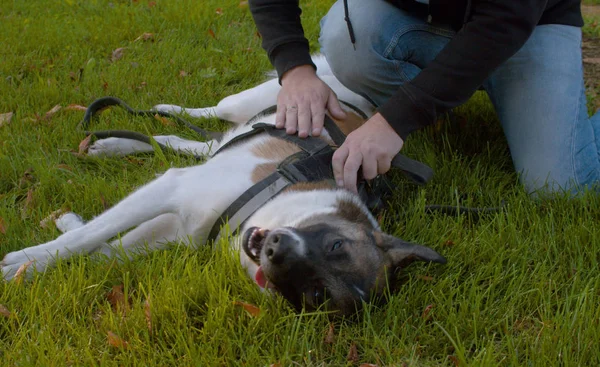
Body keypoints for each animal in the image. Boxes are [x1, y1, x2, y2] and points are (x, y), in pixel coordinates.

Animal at [1, 56, 446, 314]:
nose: (275, 250)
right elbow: (87, 239)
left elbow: (104, 252)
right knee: (209, 115)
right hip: (252, 99)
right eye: (336, 244)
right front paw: (24, 261)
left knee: (195, 142)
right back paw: (161, 111)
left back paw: (116, 144)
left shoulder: (178, 225)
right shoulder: (173, 189)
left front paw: (40, 260)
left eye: (317, 295)